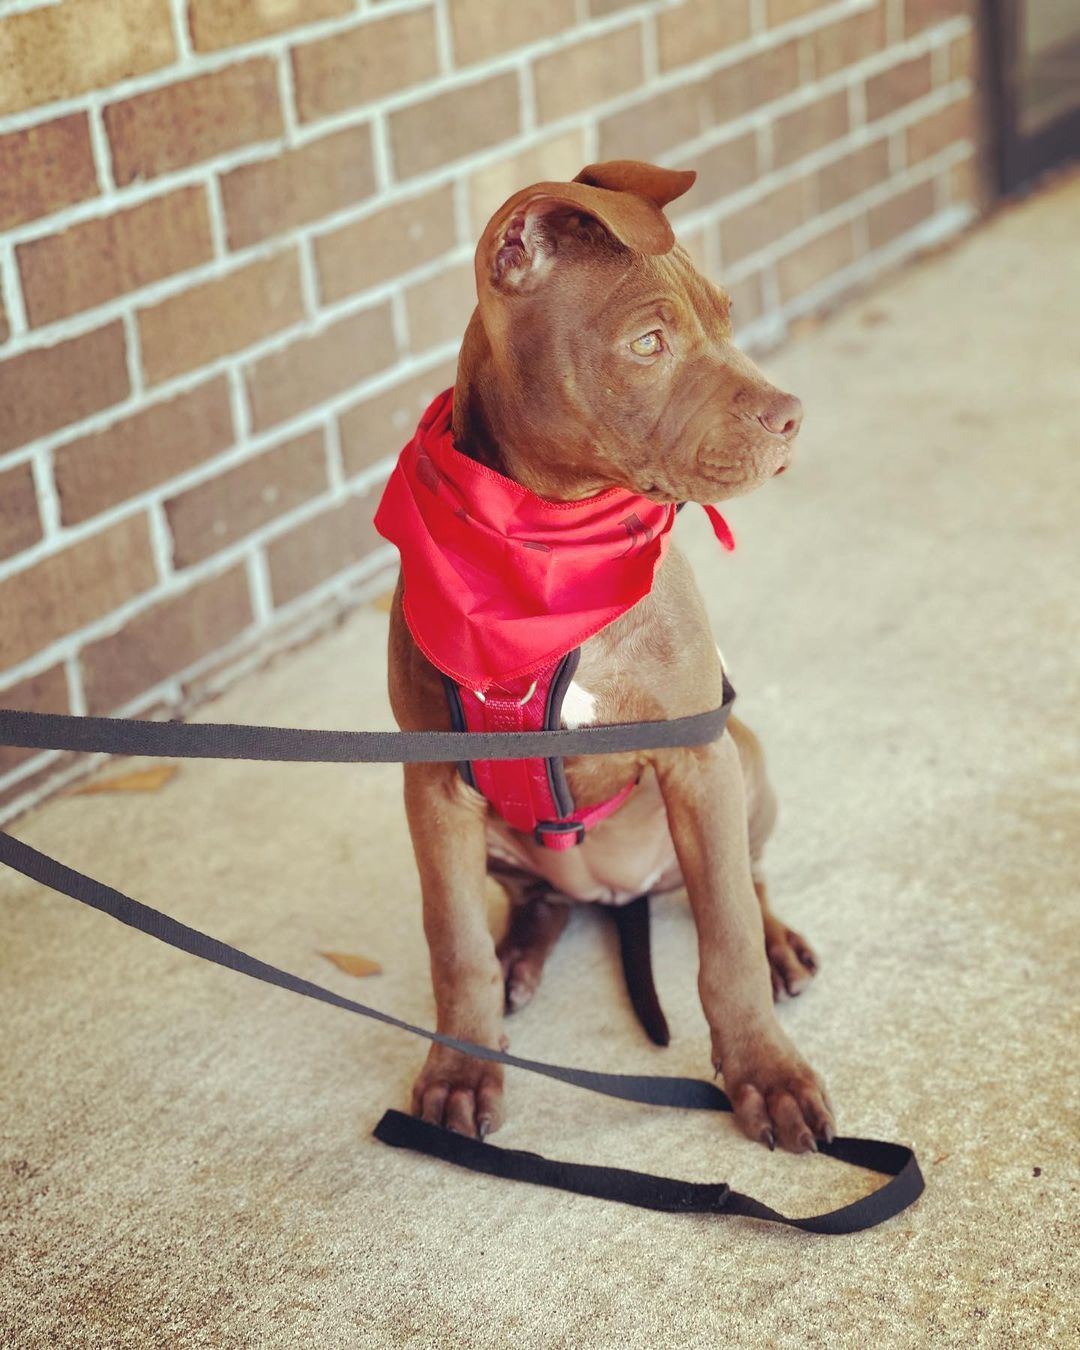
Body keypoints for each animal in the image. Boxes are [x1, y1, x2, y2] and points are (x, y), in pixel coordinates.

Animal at [383, 157, 831, 1150]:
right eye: (649, 343)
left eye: (727, 315)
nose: (791, 418)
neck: (549, 548)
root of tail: (618, 897)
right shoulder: (433, 786)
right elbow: (451, 942)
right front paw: (461, 1068)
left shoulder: (698, 755)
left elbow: (724, 940)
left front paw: (766, 1072)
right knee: (536, 903)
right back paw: (519, 958)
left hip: (743, 762)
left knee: (742, 881)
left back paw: (779, 941)